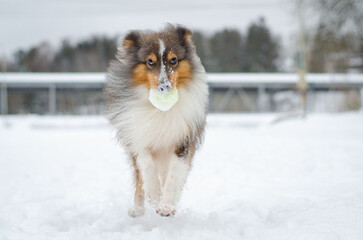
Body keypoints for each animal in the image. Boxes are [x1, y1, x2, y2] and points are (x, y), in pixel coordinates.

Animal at [104, 24, 209, 218]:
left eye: (173, 60)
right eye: (150, 62)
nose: (164, 87)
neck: (160, 108)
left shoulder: (183, 139)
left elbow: (175, 174)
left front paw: (166, 206)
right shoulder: (138, 135)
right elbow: (146, 166)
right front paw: (154, 196)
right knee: (139, 178)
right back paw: (138, 209)